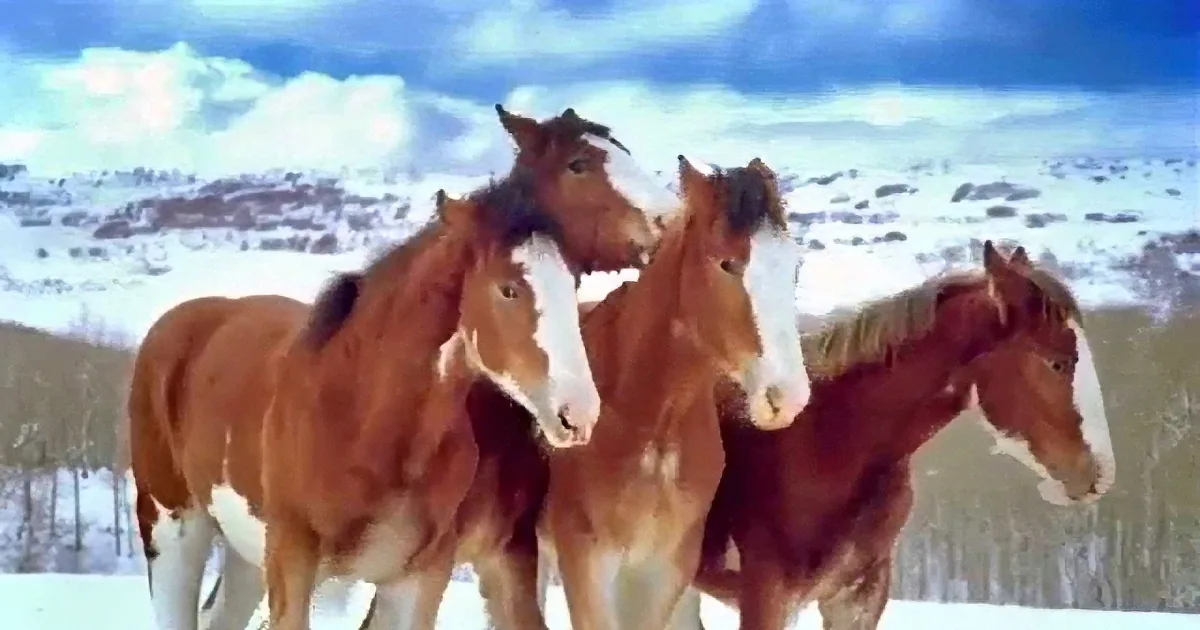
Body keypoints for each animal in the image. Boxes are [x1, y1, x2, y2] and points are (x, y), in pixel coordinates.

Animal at [538, 155, 812, 630]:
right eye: (726, 264)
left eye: (794, 267)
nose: (787, 397)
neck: (650, 421)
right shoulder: (586, 565)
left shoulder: (664, 571)